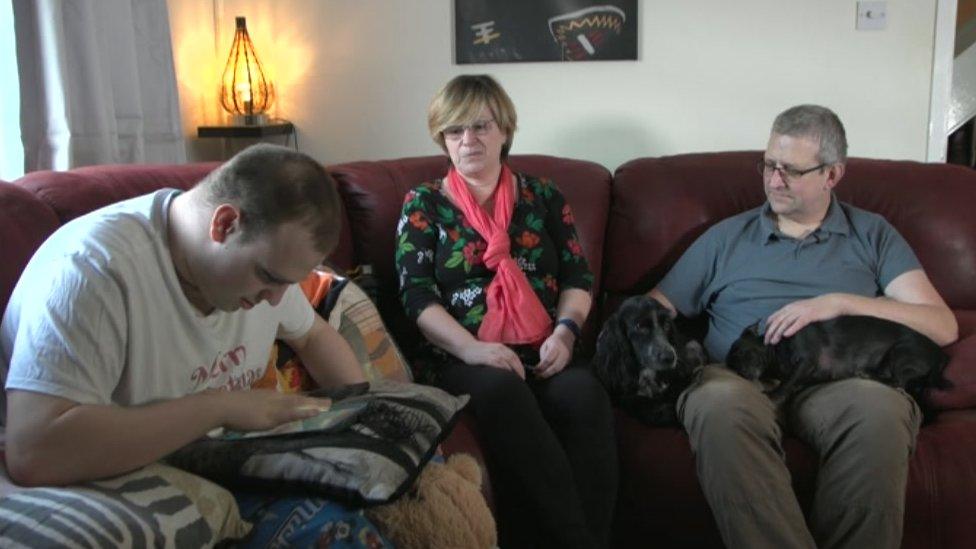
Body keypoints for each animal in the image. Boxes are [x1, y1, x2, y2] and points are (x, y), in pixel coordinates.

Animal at [596, 296, 700, 424]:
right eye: (640, 326)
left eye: (667, 325)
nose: (670, 357)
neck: (647, 372)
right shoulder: (624, 395)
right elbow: (634, 401)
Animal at [728, 314, 948, 418]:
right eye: (732, 365)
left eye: (744, 353)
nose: (741, 372)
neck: (777, 349)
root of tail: (940, 354)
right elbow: (793, 383)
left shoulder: (807, 360)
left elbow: (787, 382)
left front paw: (774, 395)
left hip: (901, 353)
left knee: (897, 381)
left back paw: (867, 374)